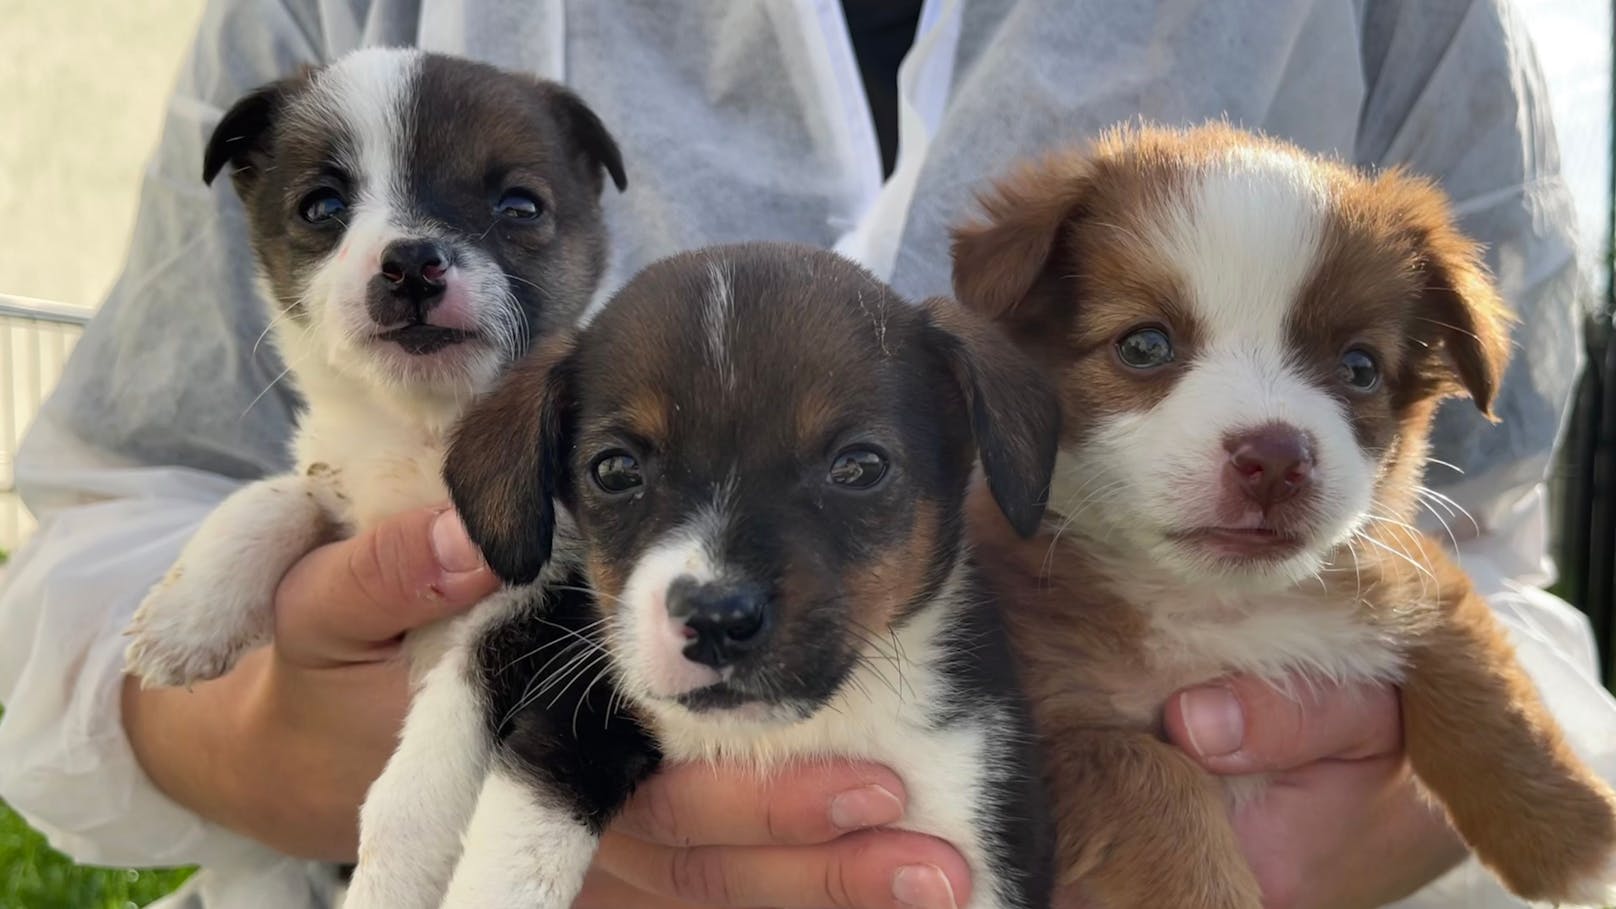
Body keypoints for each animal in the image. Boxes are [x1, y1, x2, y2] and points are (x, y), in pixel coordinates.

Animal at [433, 240, 1060, 905]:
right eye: (615, 470)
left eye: (860, 466)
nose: (716, 620)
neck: (778, 737)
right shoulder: (577, 717)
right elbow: (515, 855)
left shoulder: (974, 809)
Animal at [943, 122, 1616, 905]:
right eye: (1144, 344)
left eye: (1360, 368)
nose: (1274, 457)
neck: (1222, 604)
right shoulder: (1053, 736)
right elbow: (1156, 790)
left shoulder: (1402, 567)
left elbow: (1479, 670)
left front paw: (1579, 840)